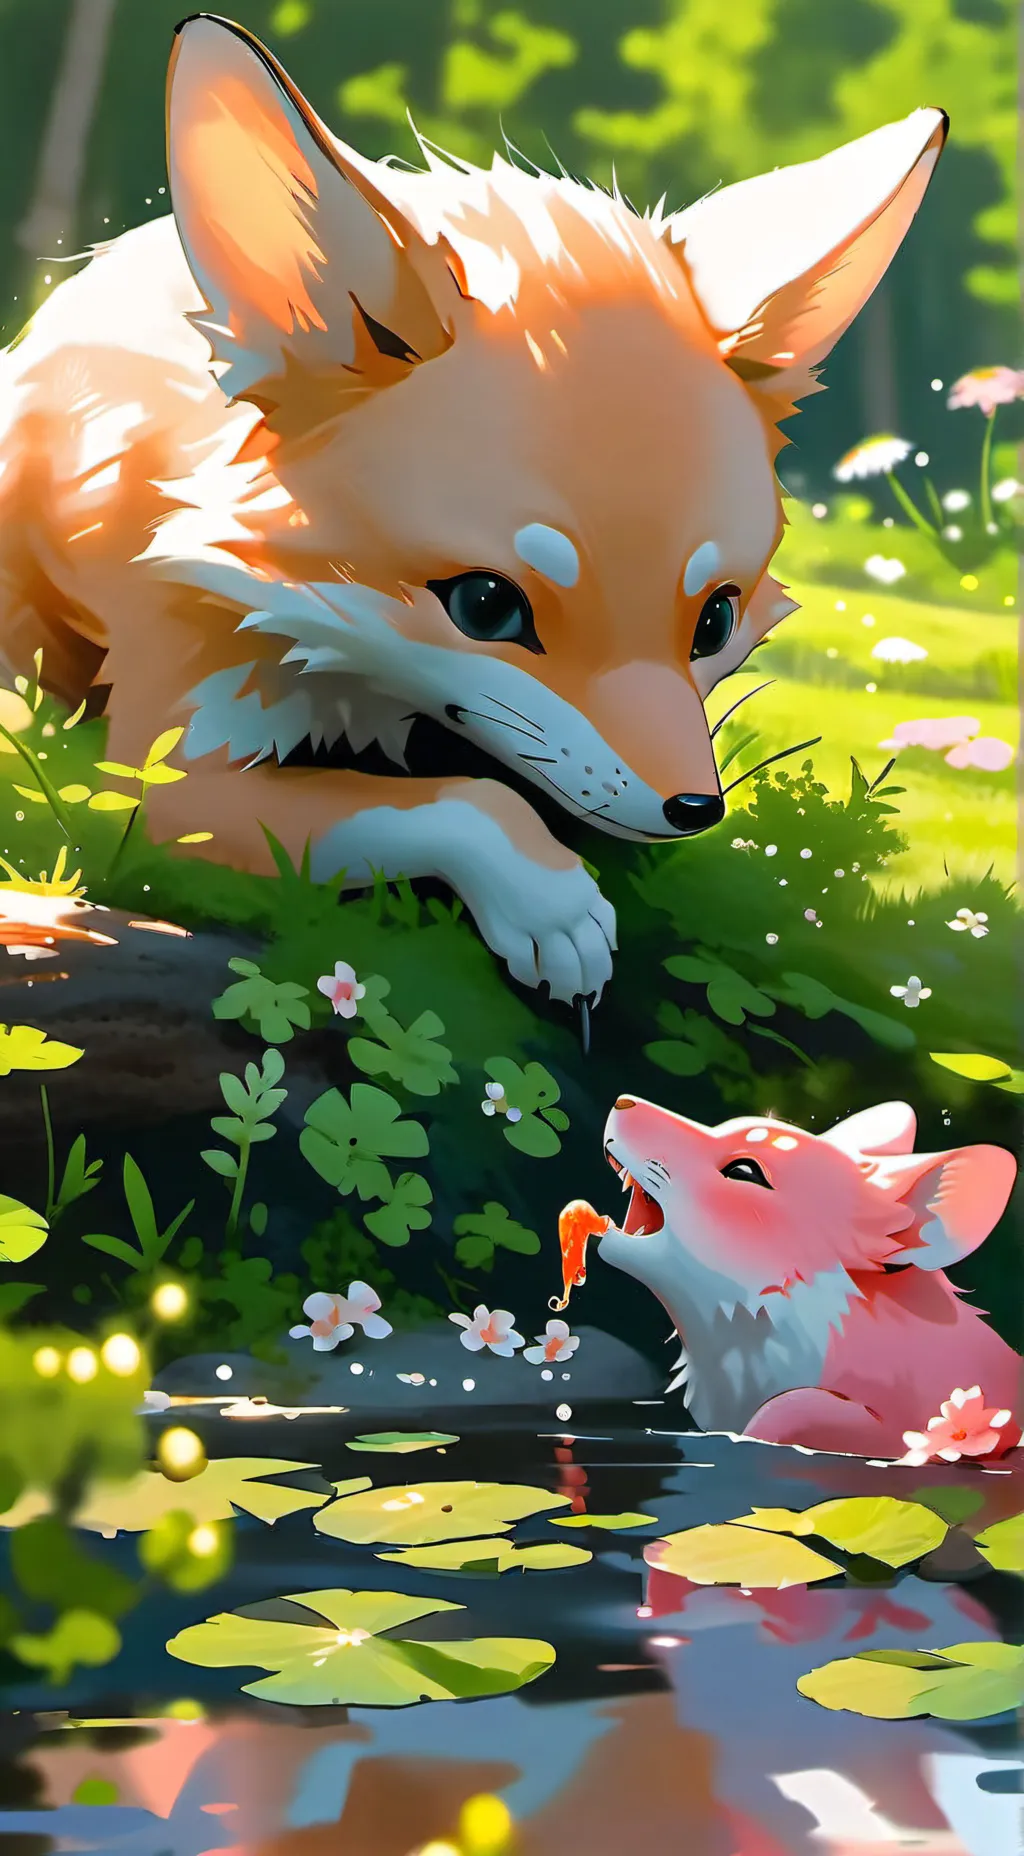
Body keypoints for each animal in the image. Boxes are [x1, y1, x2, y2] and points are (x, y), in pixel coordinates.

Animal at [0, 14, 948, 1005]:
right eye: (487, 606)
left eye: (715, 621)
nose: (694, 808)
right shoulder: (160, 779)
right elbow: (461, 802)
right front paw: (551, 903)